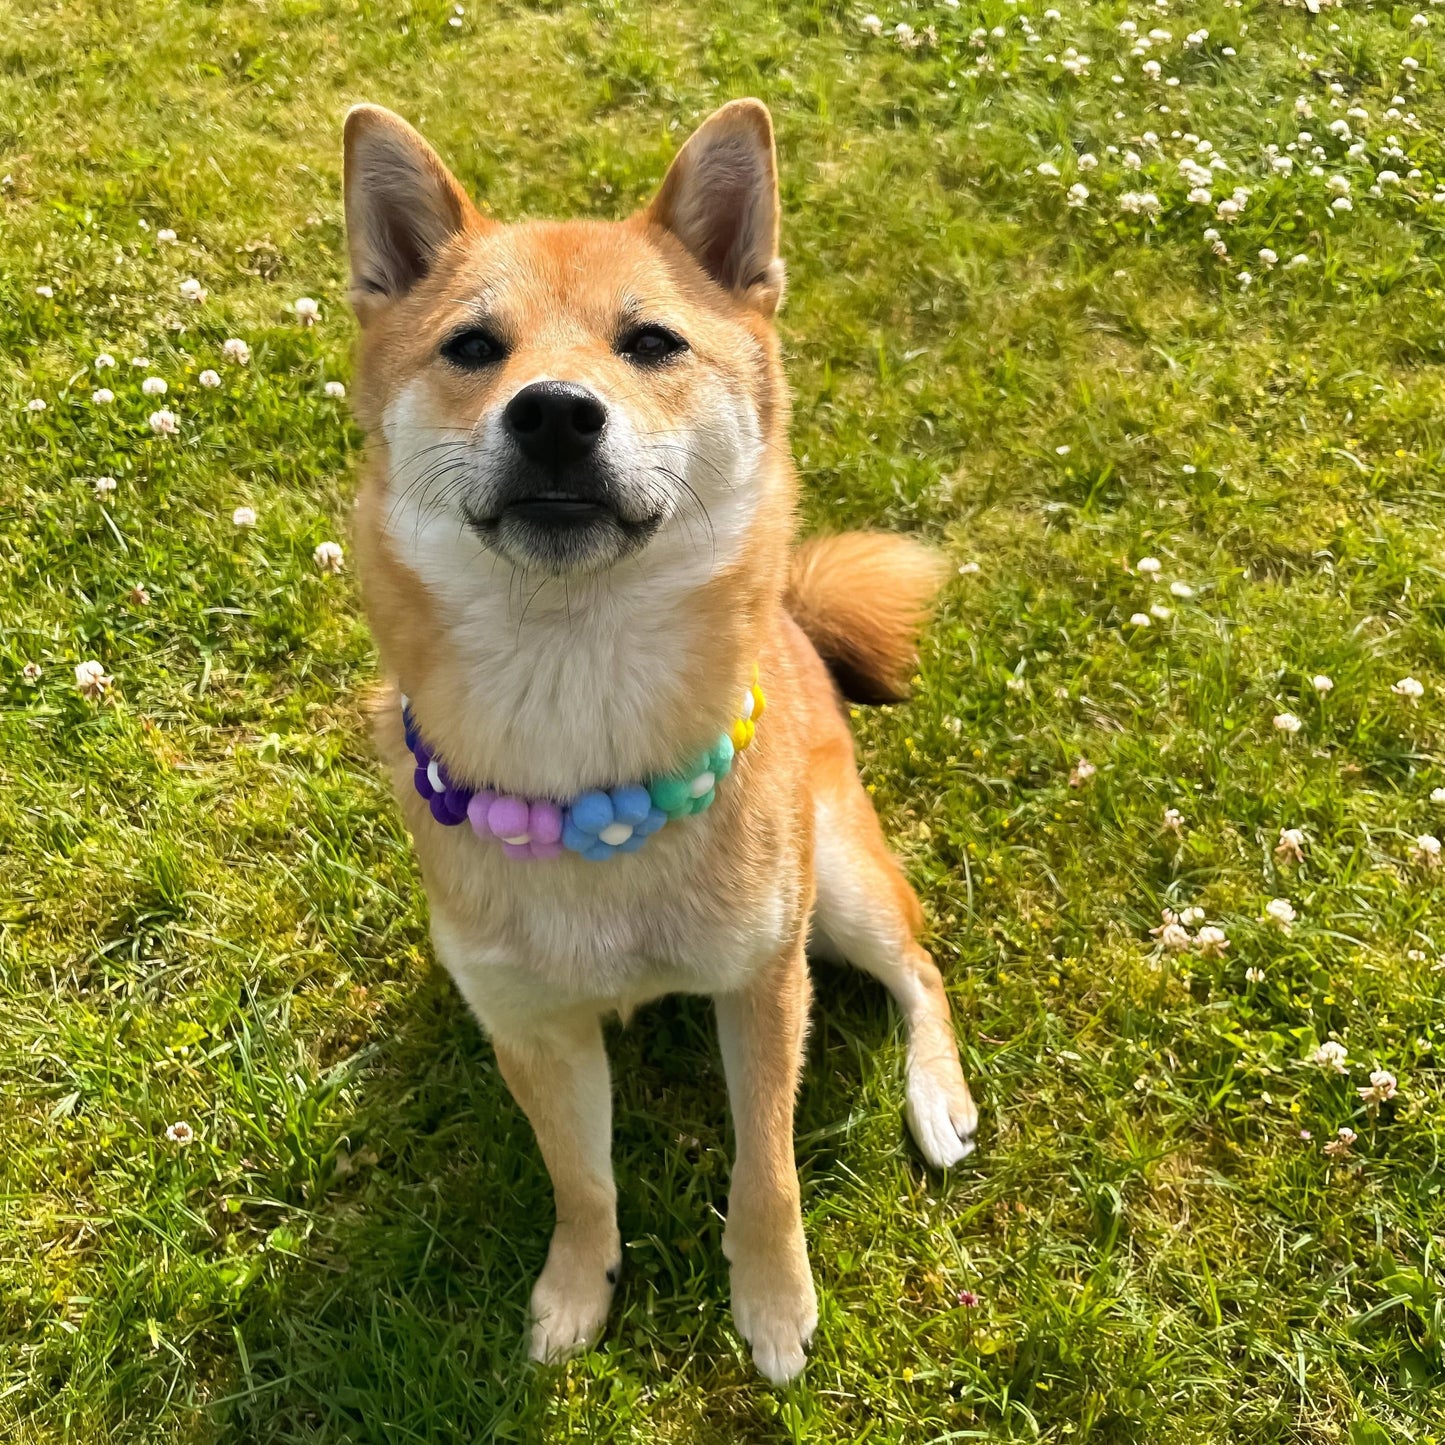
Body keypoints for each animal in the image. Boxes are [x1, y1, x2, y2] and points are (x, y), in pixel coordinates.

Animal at [346, 96, 982, 1381]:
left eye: (648, 342)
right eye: (472, 347)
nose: (551, 410)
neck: (577, 714)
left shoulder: (762, 981)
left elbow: (767, 1170)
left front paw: (773, 1303)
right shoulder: (533, 1026)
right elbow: (581, 1180)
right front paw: (576, 1287)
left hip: (838, 888)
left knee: (919, 966)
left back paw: (934, 1095)